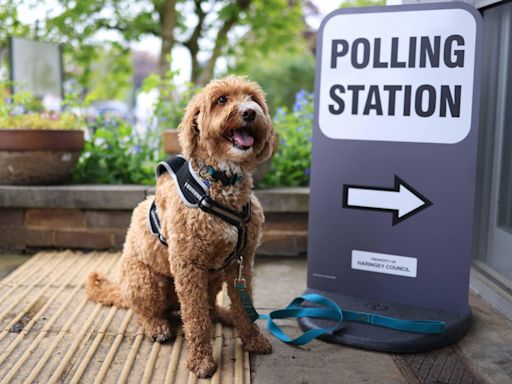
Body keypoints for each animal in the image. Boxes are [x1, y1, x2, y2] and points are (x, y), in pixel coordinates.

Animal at [86, 76, 276, 378]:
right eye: (221, 100)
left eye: (253, 99)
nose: (249, 112)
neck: (219, 183)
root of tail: (122, 290)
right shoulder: (188, 264)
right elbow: (196, 319)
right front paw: (201, 361)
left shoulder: (242, 262)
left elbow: (243, 307)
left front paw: (253, 340)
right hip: (146, 281)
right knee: (147, 312)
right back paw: (157, 326)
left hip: (214, 277)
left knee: (210, 307)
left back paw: (224, 315)